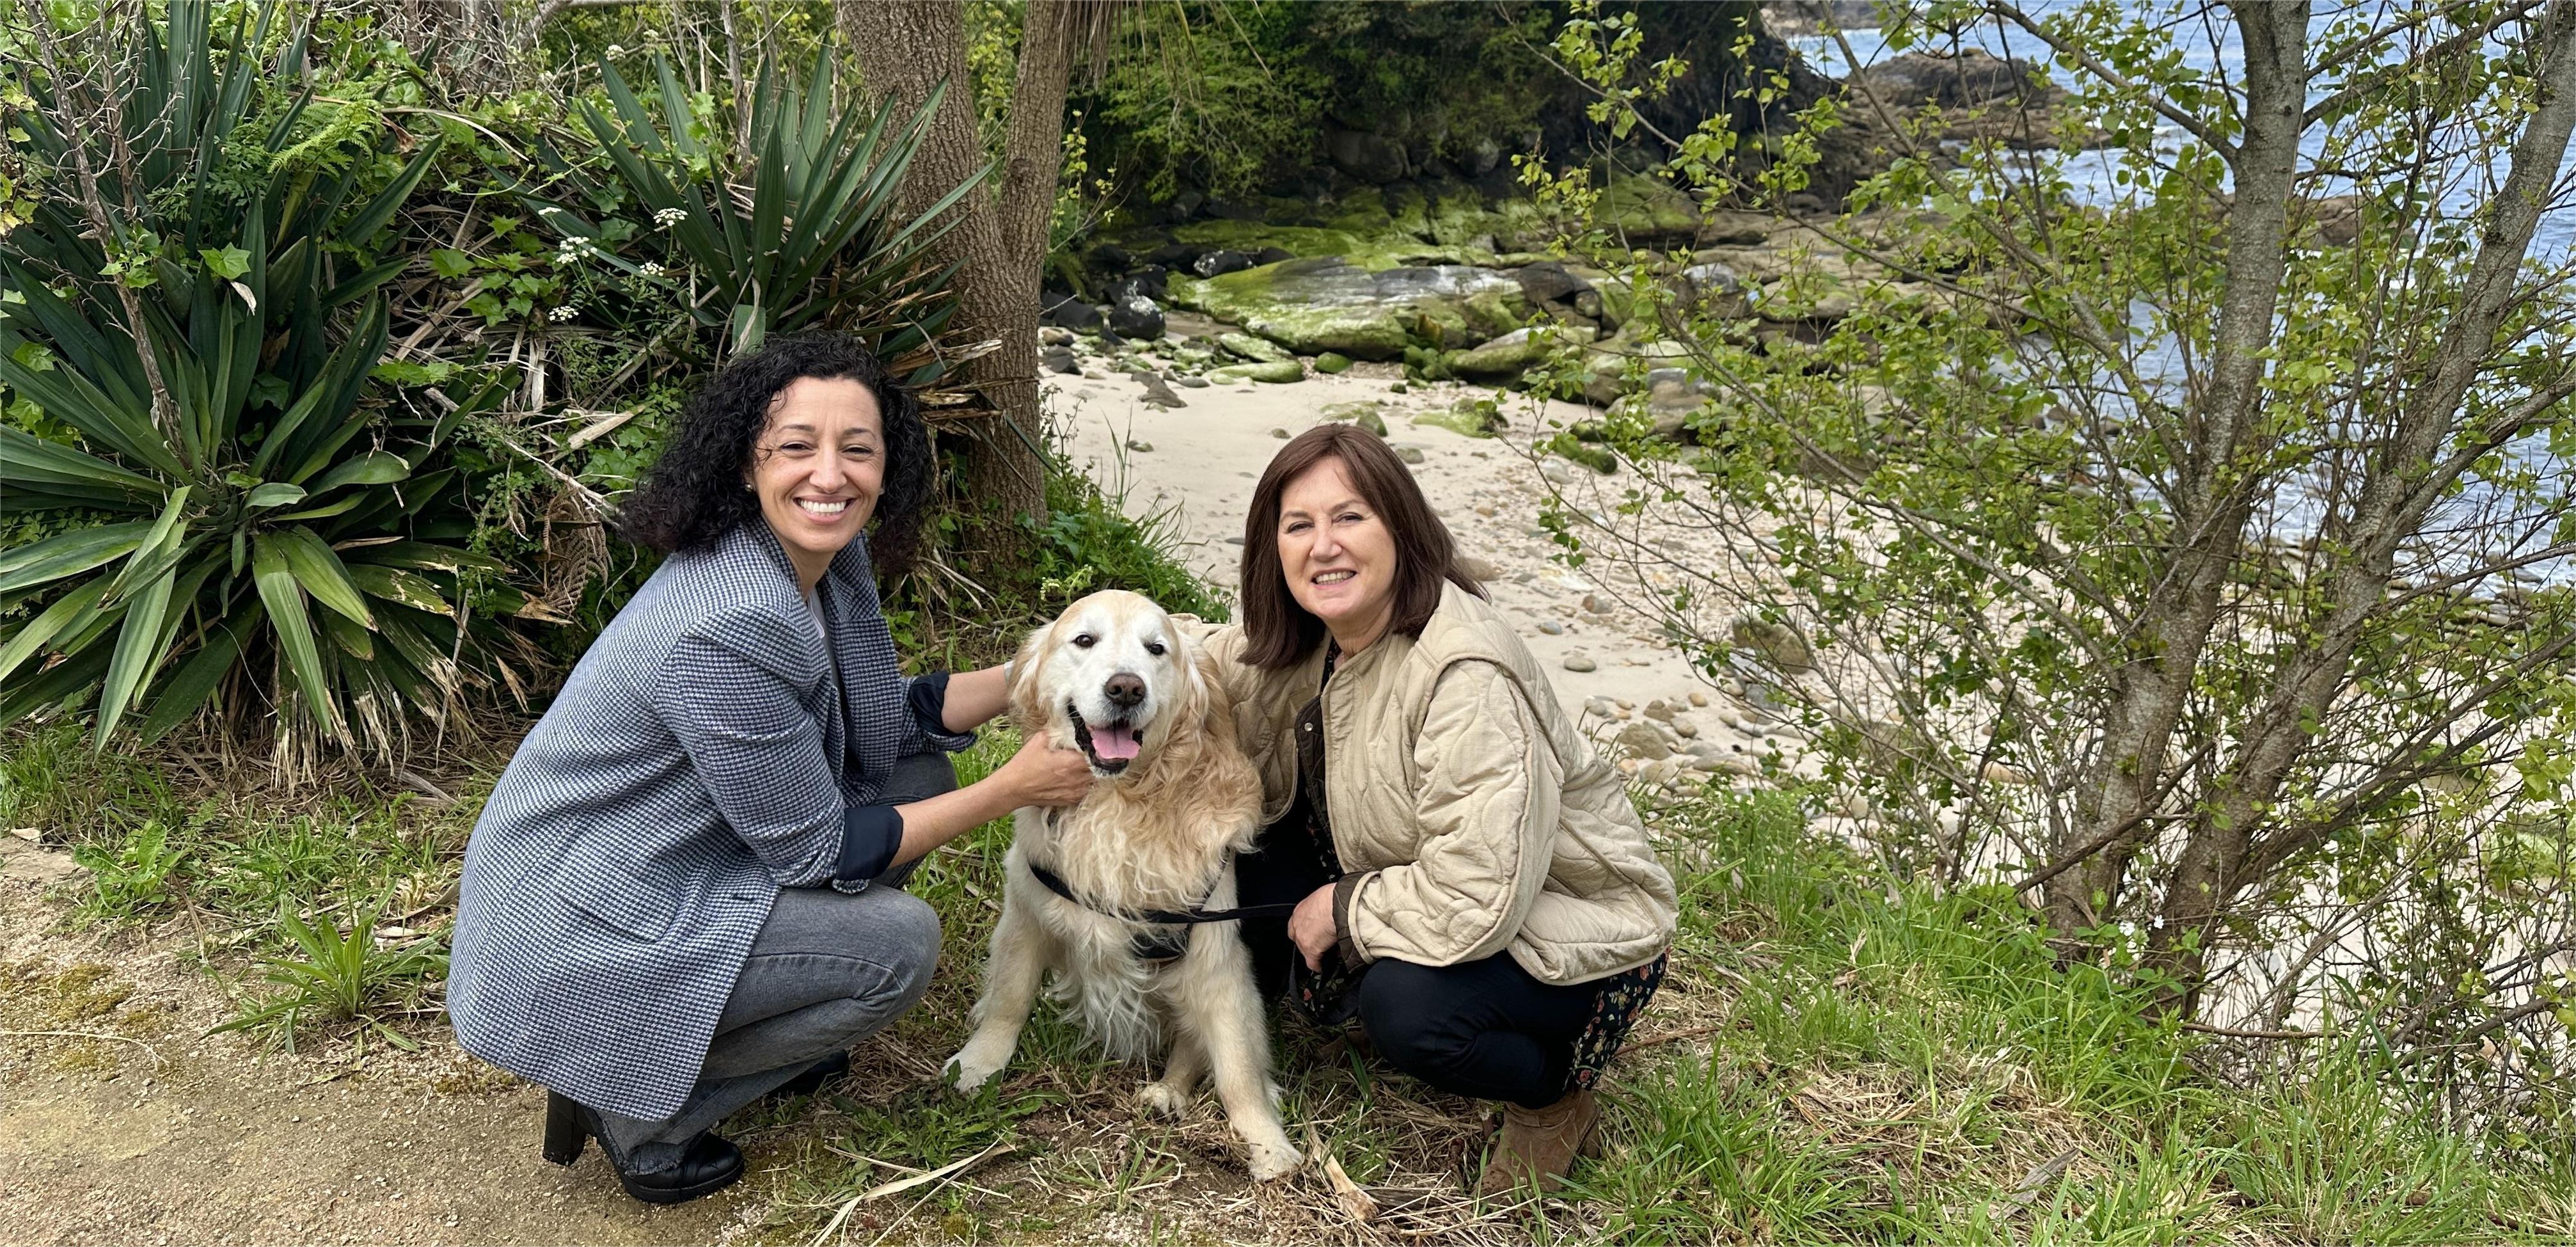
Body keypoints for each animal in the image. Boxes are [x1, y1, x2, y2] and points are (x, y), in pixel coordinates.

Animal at [943, 590, 1302, 1181]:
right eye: (1083, 640)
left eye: (1156, 648)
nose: (1126, 687)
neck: (1119, 801)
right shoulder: (1026, 912)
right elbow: (1009, 998)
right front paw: (978, 1062)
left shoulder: (1215, 956)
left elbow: (1236, 1068)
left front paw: (1268, 1142)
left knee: (1193, 1048)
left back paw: (1166, 1093)